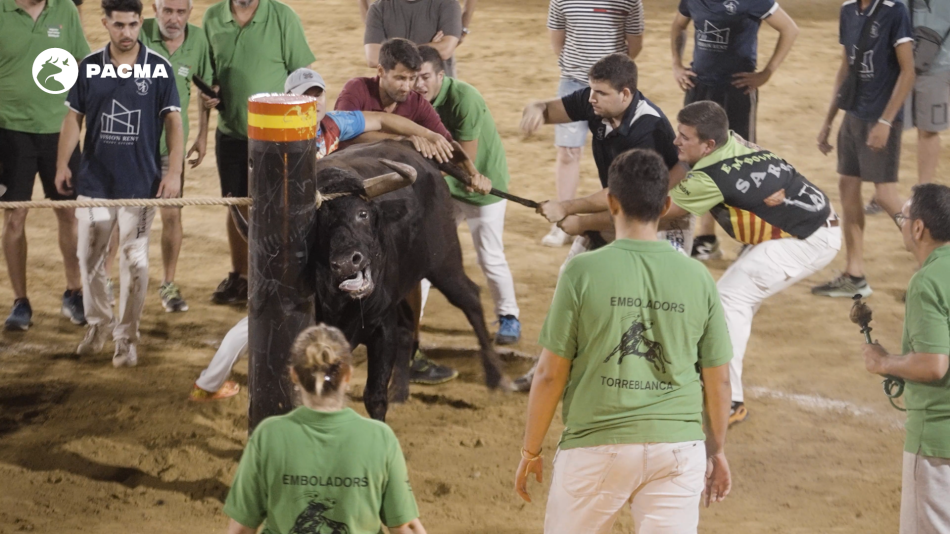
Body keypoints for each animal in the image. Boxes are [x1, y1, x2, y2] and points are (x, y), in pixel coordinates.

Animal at [233, 141, 510, 422]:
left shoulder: (381, 329)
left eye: (362, 213)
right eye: (317, 225)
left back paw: (496, 379)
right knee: (408, 324)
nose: (347, 262)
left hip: (444, 260)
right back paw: (400, 391)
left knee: (470, 298)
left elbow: (374, 395)